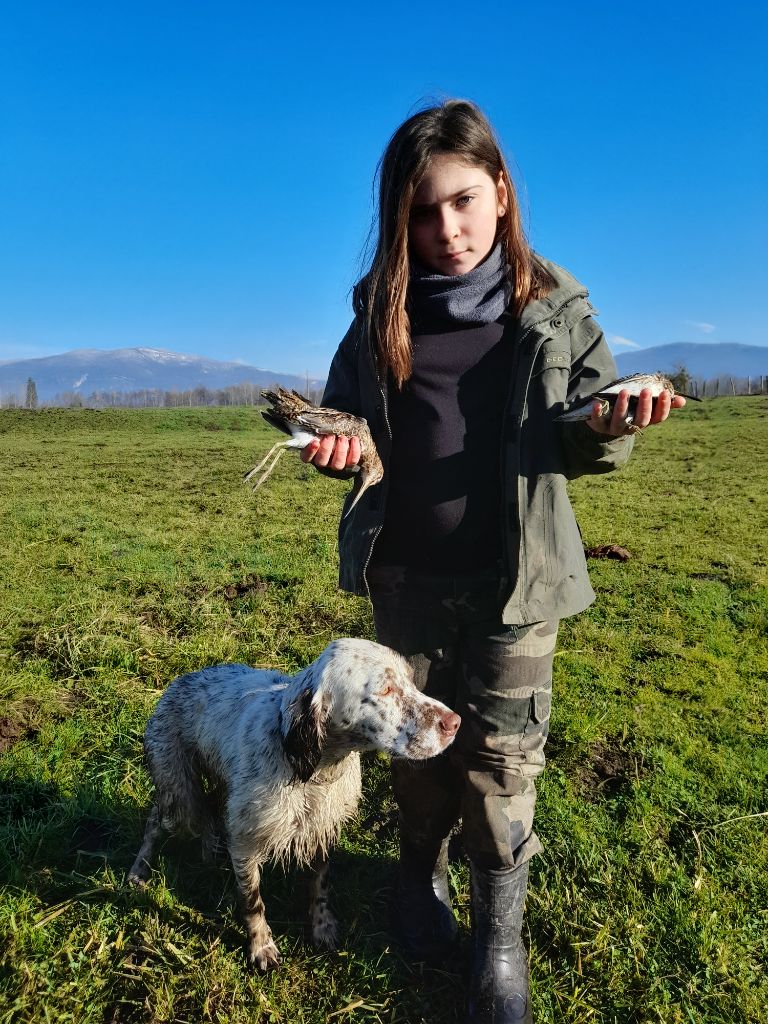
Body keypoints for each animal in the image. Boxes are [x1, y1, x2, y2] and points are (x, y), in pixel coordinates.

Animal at [129, 638, 460, 966]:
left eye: (410, 680)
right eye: (385, 689)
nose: (455, 722)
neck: (310, 769)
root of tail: (179, 682)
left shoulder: (322, 830)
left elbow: (319, 886)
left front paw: (322, 928)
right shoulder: (246, 842)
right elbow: (253, 902)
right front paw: (261, 946)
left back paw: (209, 853)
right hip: (179, 793)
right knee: (156, 819)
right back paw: (139, 869)